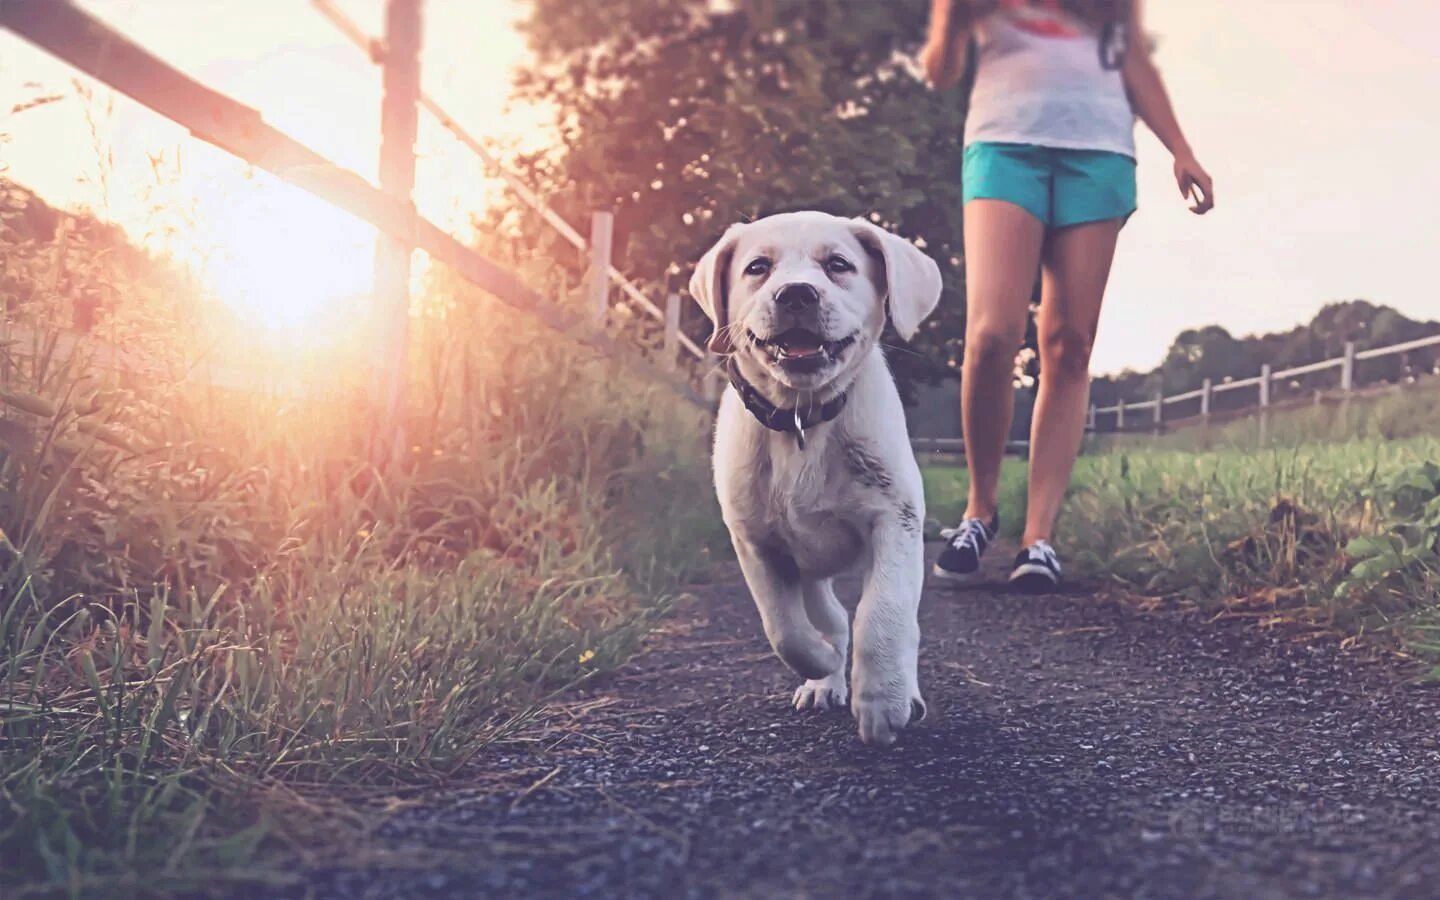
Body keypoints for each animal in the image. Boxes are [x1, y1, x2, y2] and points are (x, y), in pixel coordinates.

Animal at [688, 210, 944, 743]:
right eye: (758, 267)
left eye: (839, 265)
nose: (796, 294)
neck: (802, 420)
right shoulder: (756, 544)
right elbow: (783, 628)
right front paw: (821, 664)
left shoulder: (897, 520)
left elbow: (883, 612)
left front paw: (882, 701)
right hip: (808, 570)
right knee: (831, 616)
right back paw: (825, 680)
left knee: (884, 620)